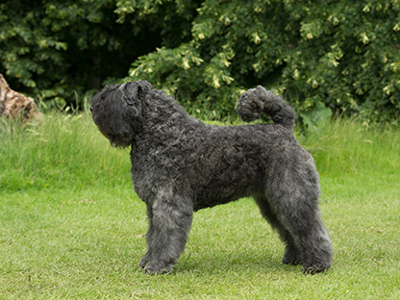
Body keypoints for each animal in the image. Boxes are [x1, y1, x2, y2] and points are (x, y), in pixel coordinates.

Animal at [90, 79, 332, 274]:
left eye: (110, 95)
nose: (92, 107)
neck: (162, 132)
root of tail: (284, 129)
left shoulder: (169, 202)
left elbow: (165, 235)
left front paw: (158, 266)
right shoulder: (153, 204)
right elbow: (153, 235)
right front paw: (148, 260)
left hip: (291, 195)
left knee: (309, 228)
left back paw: (317, 264)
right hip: (271, 201)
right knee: (290, 229)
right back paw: (295, 257)